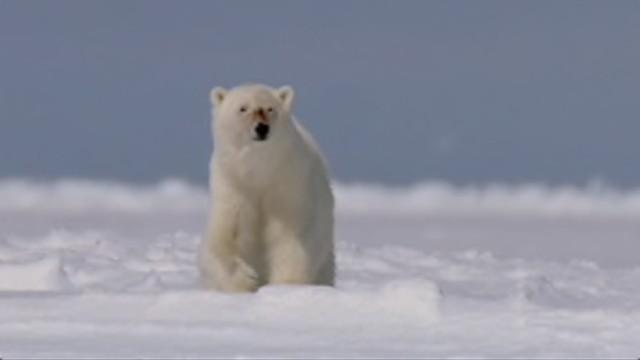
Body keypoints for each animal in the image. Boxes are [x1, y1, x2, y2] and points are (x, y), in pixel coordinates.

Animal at [200, 83, 336, 292]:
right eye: (243, 108)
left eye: (270, 108)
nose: (262, 127)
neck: (260, 171)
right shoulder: (233, 184)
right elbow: (229, 232)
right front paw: (245, 279)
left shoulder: (289, 183)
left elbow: (290, 235)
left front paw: (286, 285)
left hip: (325, 260)